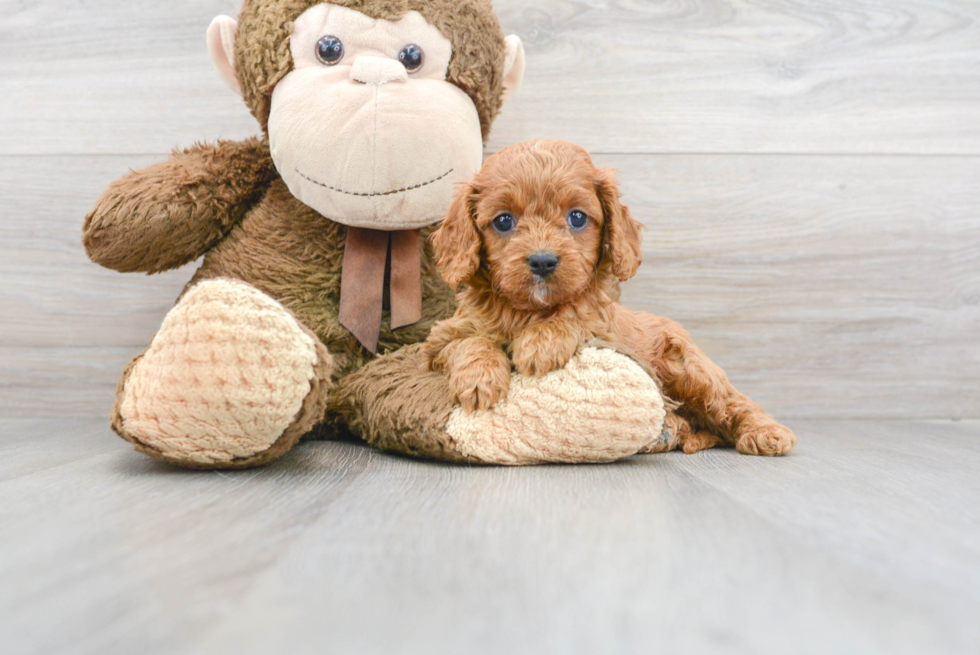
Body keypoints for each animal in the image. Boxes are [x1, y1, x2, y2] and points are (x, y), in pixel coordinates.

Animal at [424, 140, 792, 456]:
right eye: (503, 221)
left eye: (576, 217)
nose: (543, 261)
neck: (528, 311)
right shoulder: (440, 340)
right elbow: (468, 341)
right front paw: (479, 380)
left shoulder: (604, 329)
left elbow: (575, 312)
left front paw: (540, 344)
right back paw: (669, 430)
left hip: (691, 369)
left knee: (733, 402)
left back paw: (766, 433)